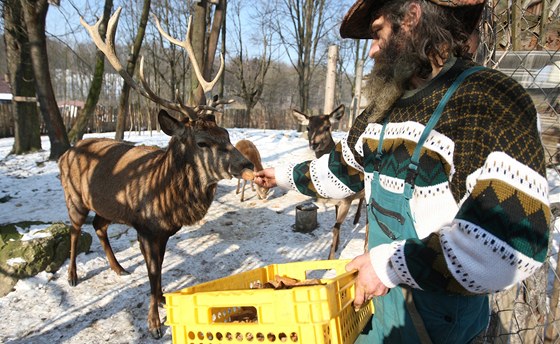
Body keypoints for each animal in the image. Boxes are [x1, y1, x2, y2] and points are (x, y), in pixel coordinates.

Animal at [58, 8, 254, 338]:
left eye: (227, 133)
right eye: (202, 142)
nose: (247, 165)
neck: (167, 199)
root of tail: (65, 153)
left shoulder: (161, 232)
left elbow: (159, 270)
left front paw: (163, 299)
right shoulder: (146, 229)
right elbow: (152, 273)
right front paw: (154, 324)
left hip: (106, 206)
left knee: (99, 225)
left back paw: (119, 268)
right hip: (74, 198)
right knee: (74, 231)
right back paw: (72, 275)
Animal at [294, 103, 368, 260]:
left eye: (327, 127)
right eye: (308, 127)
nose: (314, 144)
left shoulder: (346, 200)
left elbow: (335, 227)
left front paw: (330, 258)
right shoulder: (336, 201)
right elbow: (335, 222)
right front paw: (338, 244)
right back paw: (355, 219)